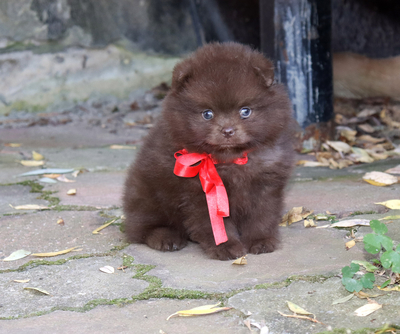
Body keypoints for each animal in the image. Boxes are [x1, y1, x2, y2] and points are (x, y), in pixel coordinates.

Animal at [123, 42, 296, 260]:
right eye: (207, 114)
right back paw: (166, 237)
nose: (227, 130)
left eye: (245, 111)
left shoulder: (266, 183)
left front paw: (261, 241)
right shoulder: (199, 193)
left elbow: (262, 216)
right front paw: (225, 247)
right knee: (142, 227)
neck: (231, 160)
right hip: (148, 195)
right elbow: (215, 224)